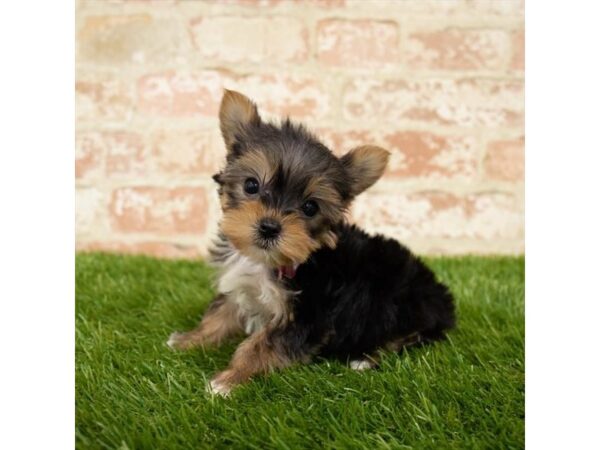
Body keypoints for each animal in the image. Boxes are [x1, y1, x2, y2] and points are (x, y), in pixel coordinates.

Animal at [166, 89, 458, 396]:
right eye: (251, 185)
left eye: (310, 207)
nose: (269, 227)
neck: (268, 260)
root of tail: (441, 296)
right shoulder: (242, 287)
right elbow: (219, 313)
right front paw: (190, 339)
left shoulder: (309, 316)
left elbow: (260, 345)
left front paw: (228, 380)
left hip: (400, 303)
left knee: (409, 337)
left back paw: (365, 359)